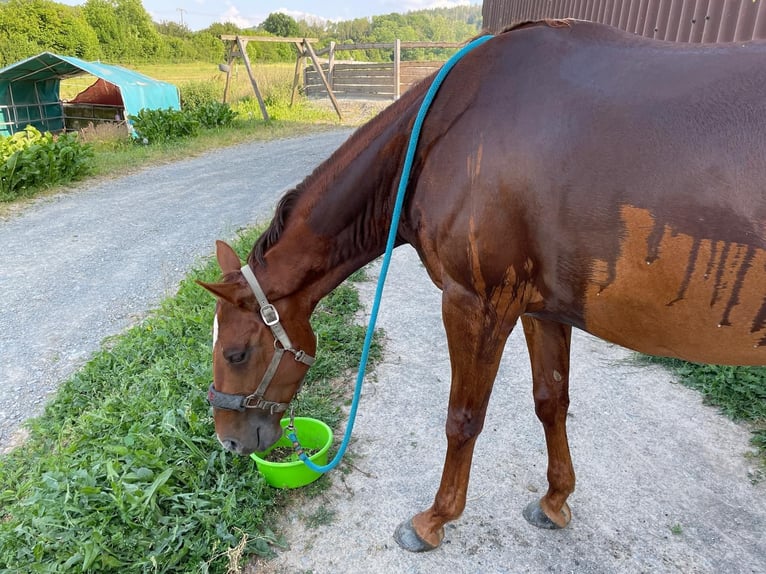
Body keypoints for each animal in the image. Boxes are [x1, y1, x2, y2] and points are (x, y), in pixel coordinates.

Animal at [198, 19, 766, 552]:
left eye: (236, 353)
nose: (228, 442)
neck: (446, 131)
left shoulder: (476, 303)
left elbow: (463, 418)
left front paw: (433, 521)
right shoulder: (541, 309)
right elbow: (550, 401)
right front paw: (555, 500)